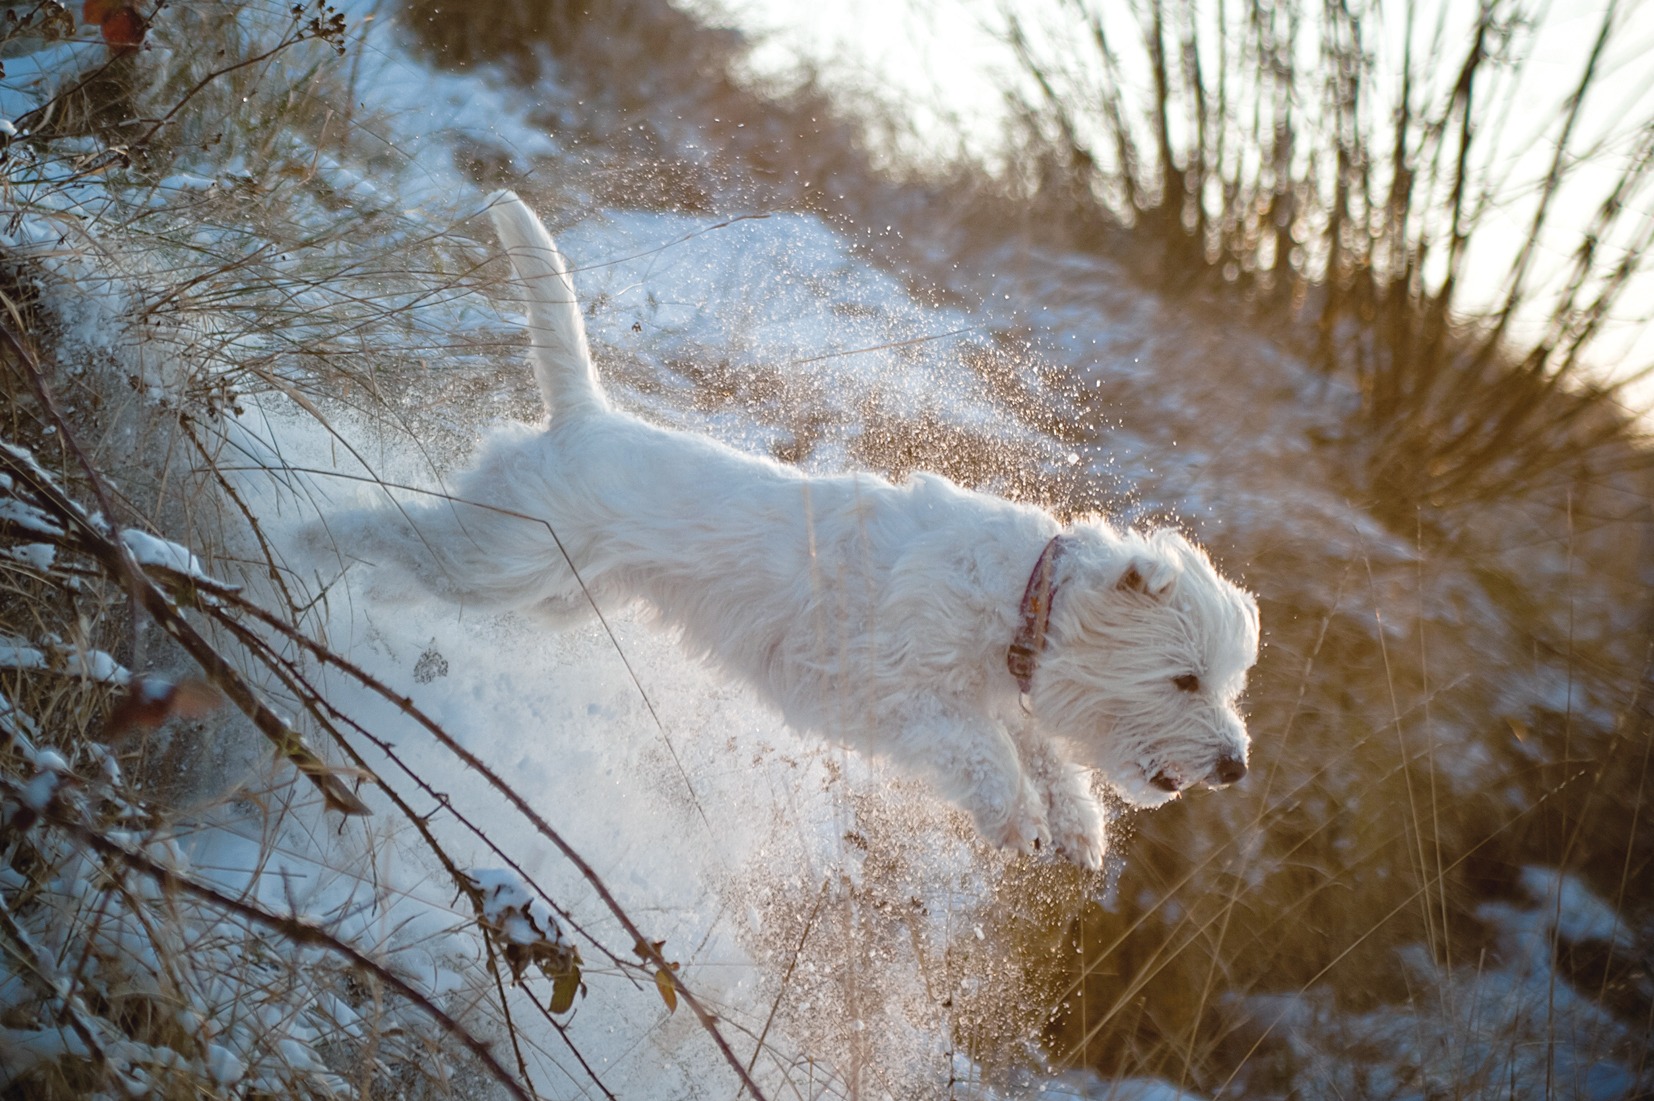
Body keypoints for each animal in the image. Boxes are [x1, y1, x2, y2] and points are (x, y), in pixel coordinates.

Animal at [315, 195, 1257, 866]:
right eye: (1184, 678)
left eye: (1224, 682)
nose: (1236, 766)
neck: (1023, 601)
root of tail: (583, 417)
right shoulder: (902, 696)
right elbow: (986, 750)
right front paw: (1024, 821)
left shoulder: (1004, 693)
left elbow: (1048, 751)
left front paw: (1079, 830)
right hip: (499, 563)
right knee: (368, 526)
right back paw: (294, 555)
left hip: (546, 592)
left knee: (404, 555)